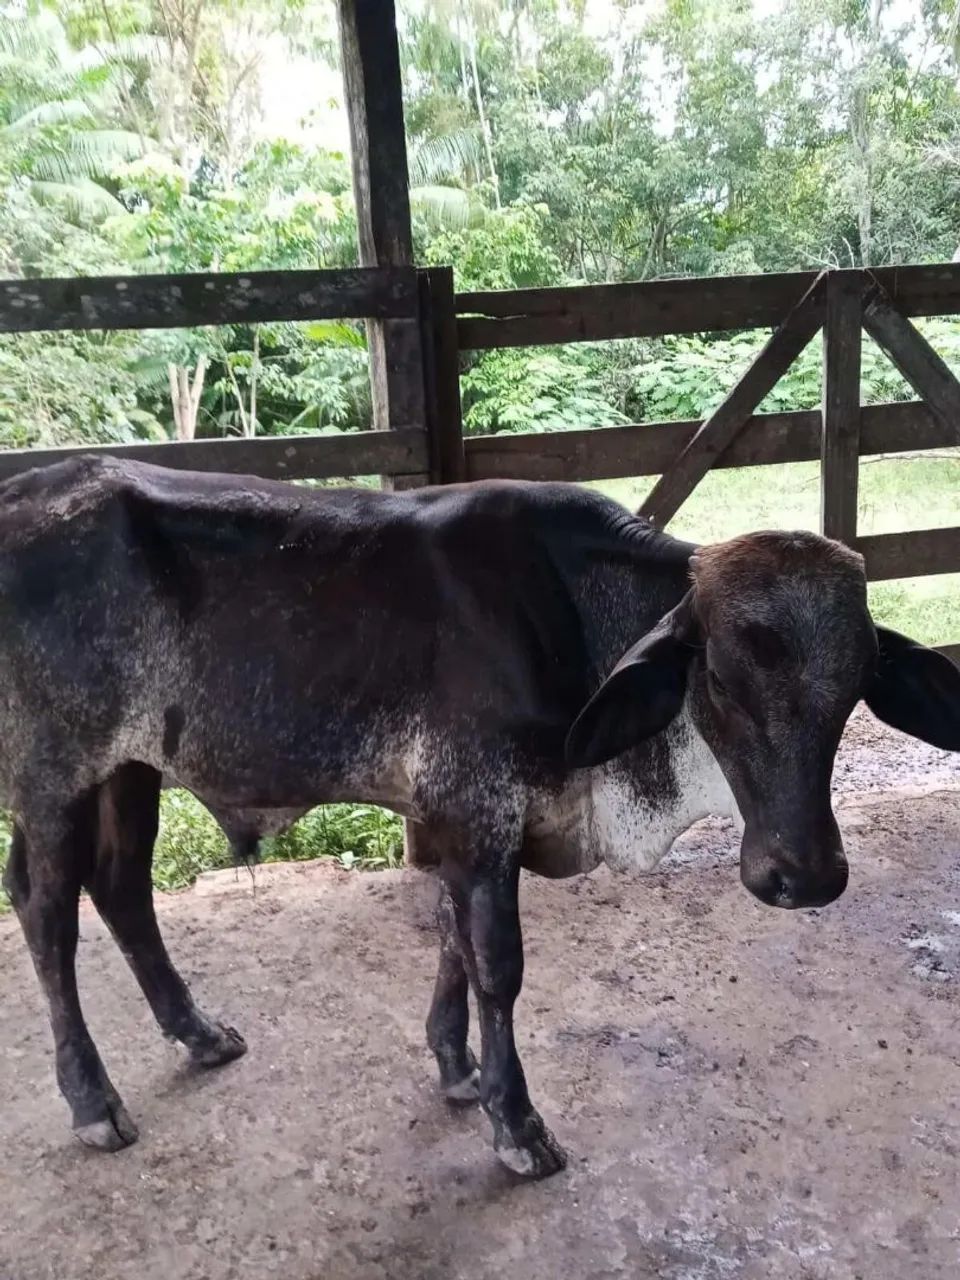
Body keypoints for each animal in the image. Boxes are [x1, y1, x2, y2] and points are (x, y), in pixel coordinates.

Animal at [1, 455, 958, 1179]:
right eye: (718, 677)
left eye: (859, 679)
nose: (804, 875)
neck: (572, 616)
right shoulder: (478, 812)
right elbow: (496, 965)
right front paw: (516, 1123)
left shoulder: (454, 821)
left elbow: (451, 942)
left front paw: (456, 1068)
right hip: (53, 773)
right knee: (47, 912)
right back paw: (93, 1100)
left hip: (129, 768)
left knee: (122, 891)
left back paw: (197, 1033)